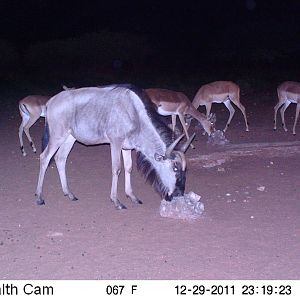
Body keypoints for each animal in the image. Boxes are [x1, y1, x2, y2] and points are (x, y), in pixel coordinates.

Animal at [35, 84, 195, 209]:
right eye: (175, 168)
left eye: (185, 170)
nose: (179, 193)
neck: (134, 113)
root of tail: (50, 102)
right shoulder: (115, 143)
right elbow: (116, 169)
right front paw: (116, 201)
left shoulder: (126, 147)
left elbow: (128, 168)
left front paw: (132, 196)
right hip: (57, 136)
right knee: (44, 157)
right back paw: (39, 197)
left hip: (69, 138)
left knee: (60, 158)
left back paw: (69, 193)